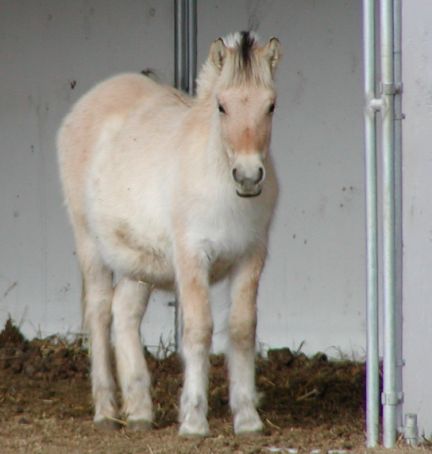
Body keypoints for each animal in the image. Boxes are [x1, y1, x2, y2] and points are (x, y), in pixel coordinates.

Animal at [58, 30, 280, 434]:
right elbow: (199, 329)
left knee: (124, 312)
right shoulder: (192, 256)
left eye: (270, 105)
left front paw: (247, 419)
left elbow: (242, 330)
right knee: (99, 312)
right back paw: (106, 412)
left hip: (139, 263)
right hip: (89, 247)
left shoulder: (251, 257)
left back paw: (139, 411)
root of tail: (88, 102)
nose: (248, 177)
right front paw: (193, 421)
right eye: (222, 106)